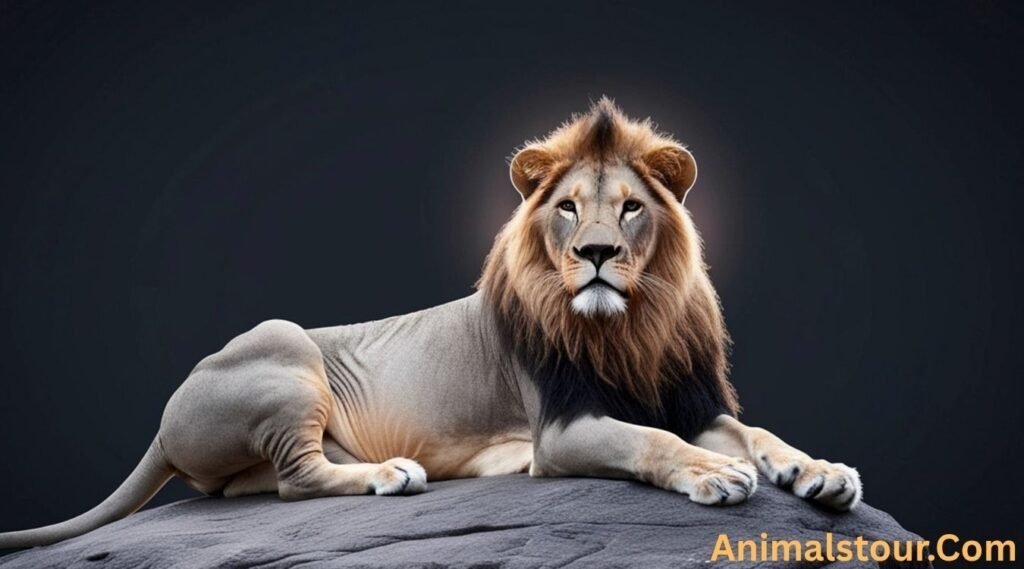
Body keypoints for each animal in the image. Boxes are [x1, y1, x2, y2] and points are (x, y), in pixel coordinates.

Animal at [0, 98, 861, 549]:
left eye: (631, 208)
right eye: (567, 207)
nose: (596, 252)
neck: (631, 326)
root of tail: (167, 412)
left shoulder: (692, 397)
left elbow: (759, 433)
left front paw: (819, 470)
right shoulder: (562, 428)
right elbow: (649, 441)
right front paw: (713, 472)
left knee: (256, 486)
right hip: (283, 343)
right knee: (295, 479)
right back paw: (391, 474)